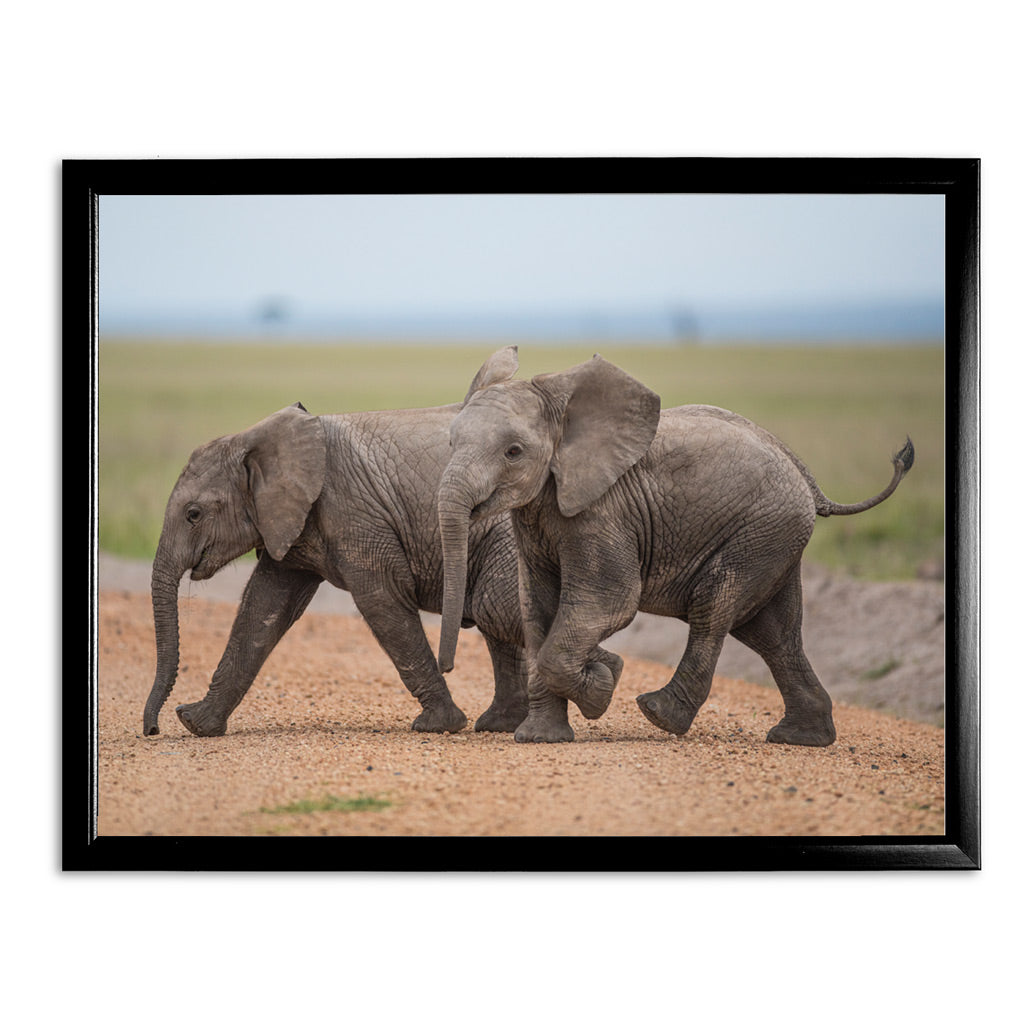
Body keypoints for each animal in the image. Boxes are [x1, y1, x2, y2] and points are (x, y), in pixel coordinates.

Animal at [143, 396, 538, 738]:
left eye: (194, 514)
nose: (152, 729)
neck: (258, 437)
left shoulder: (352, 513)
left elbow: (382, 602)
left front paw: (439, 724)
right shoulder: (291, 523)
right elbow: (263, 609)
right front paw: (196, 723)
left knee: (495, 609)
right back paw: (498, 724)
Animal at [437, 349, 914, 746]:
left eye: (513, 452)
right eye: (451, 442)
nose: (448, 667)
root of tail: (804, 473)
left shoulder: (604, 511)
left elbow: (610, 600)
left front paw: (603, 685)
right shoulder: (535, 519)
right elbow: (536, 606)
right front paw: (541, 737)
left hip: (761, 530)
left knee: (714, 606)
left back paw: (659, 714)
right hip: (775, 536)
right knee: (772, 633)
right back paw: (800, 738)